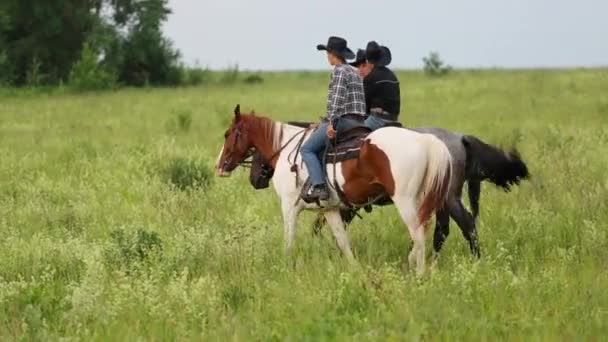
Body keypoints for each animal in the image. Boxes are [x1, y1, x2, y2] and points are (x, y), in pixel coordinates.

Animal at [215, 105, 452, 274]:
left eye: (228, 134)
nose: (219, 166)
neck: (286, 149)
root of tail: (425, 140)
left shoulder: (289, 207)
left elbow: (289, 239)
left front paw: (286, 265)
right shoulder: (329, 209)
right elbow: (342, 241)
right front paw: (355, 269)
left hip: (405, 201)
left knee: (418, 234)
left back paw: (419, 273)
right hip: (422, 200)